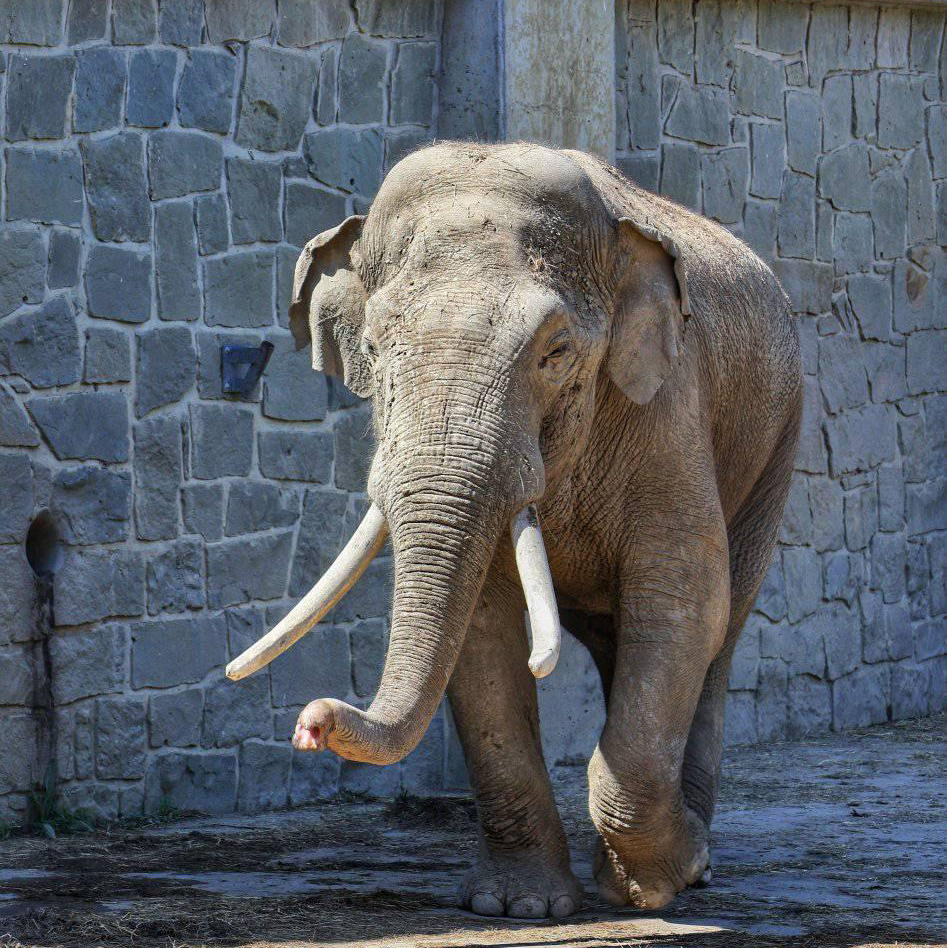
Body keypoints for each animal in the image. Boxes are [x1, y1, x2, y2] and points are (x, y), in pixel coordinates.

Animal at [228, 142, 802, 918]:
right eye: (373, 349)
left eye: (554, 351)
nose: (310, 724)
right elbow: (481, 628)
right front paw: (518, 908)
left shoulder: (669, 410)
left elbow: (681, 601)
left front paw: (656, 884)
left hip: (775, 446)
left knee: (721, 628)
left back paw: (693, 864)